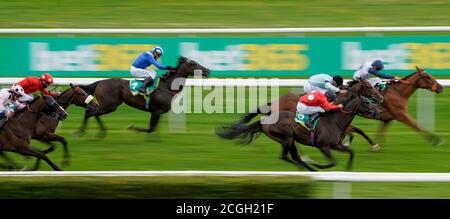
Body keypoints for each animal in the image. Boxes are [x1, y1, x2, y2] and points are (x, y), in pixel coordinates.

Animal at [76, 56, 210, 137]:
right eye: (193, 63)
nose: (207, 70)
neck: (167, 86)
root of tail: (100, 82)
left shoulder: (158, 112)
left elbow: (154, 128)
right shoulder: (156, 111)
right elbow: (150, 128)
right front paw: (132, 127)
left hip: (106, 105)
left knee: (92, 111)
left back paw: (101, 132)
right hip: (109, 106)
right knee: (89, 112)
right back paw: (81, 132)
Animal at [216, 78, 382, 171]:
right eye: (369, 87)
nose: (380, 101)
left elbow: (356, 133)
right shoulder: (325, 144)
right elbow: (354, 133)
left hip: (287, 139)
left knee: (291, 156)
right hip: (287, 138)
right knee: (292, 155)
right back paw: (309, 165)